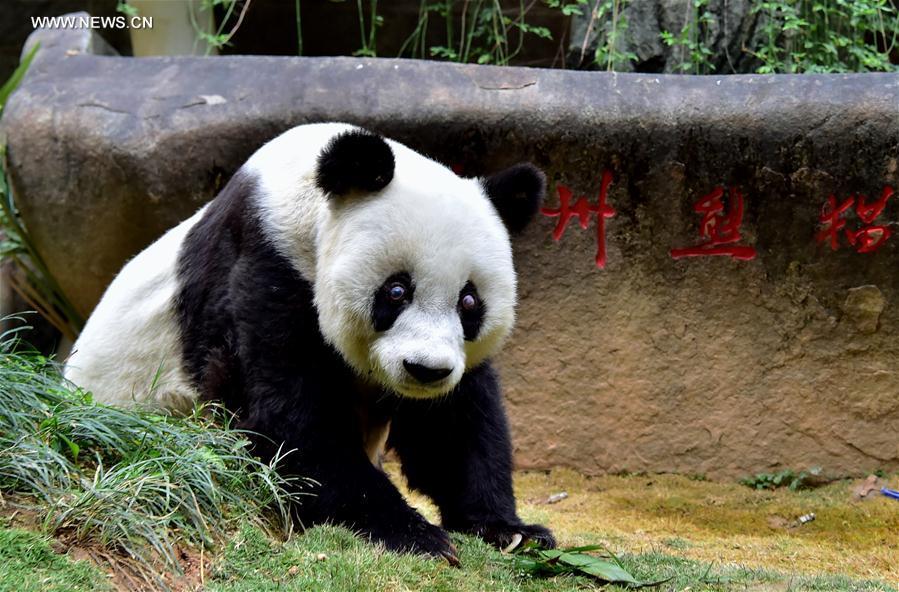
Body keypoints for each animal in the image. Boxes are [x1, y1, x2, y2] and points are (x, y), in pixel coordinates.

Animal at [64, 122, 555, 563]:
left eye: (469, 301)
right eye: (397, 291)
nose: (426, 370)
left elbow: (451, 425)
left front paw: (511, 530)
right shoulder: (266, 268)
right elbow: (289, 418)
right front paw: (414, 534)